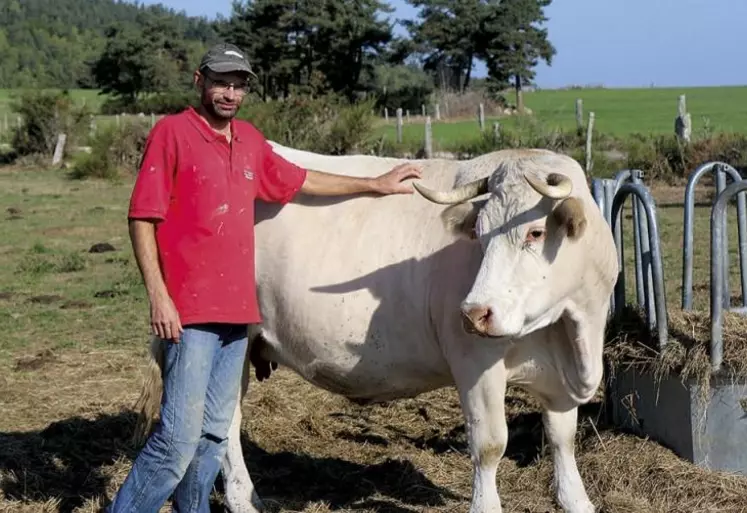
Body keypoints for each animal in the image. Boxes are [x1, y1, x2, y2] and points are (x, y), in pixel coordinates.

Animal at [134, 144, 620, 512]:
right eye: (479, 234)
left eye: (535, 233)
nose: (473, 312)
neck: (570, 332)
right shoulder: (475, 365)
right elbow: (489, 445)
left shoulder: (559, 375)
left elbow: (562, 438)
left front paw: (577, 501)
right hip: (224, 338)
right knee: (223, 421)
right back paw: (243, 500)